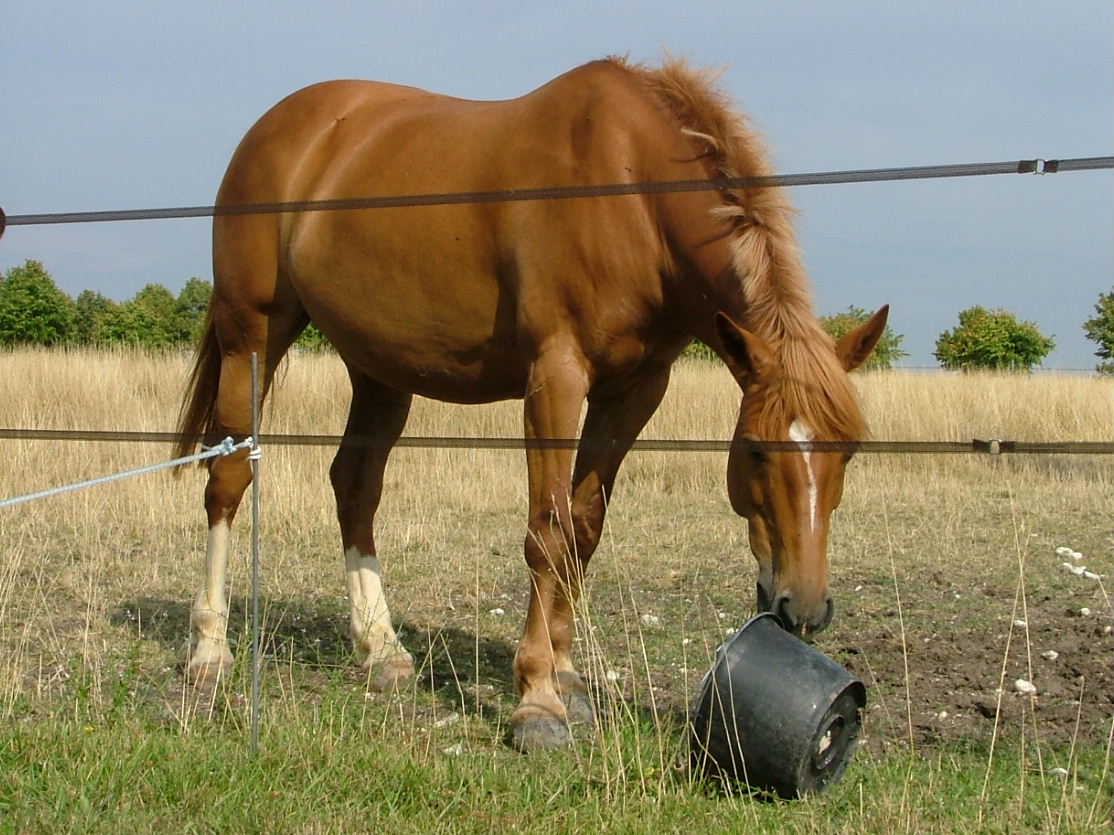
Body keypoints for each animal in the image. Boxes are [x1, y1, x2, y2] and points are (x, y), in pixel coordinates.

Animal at [176, 59, 886, 752]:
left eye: (850, 451)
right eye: (758, 450)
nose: (804, 610)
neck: (633, 191)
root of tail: (283, 126)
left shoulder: (634, 390)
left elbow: (584, 528)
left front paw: (568, 675)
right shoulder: (557, 377)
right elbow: (548, 531)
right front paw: (537, 701)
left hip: (379, 371)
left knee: (354, 486)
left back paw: (381, 649)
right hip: (251, 336)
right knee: (227, 478)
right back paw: (209, 651)